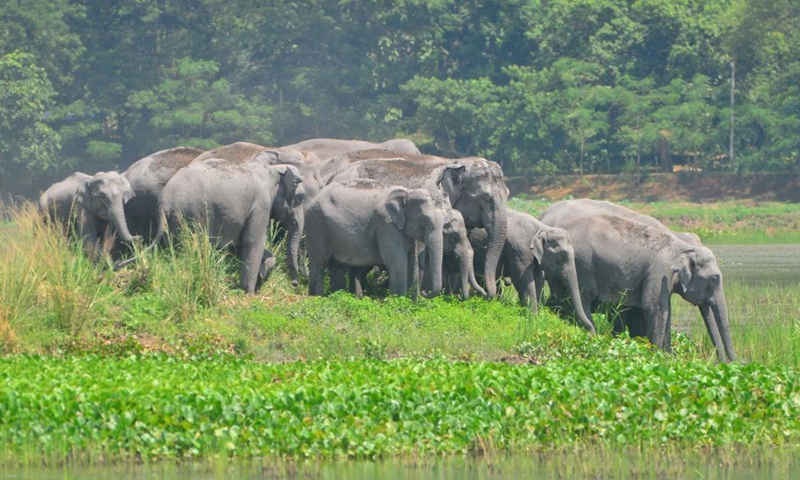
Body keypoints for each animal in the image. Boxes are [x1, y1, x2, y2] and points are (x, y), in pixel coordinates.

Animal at [149, 158, 305, 294]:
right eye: (300, 198)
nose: (295, 284)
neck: (273, 170)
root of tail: (164, 201)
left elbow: (238, 245)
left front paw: (262, 273)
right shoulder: (261, 205)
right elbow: (253, 242)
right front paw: (249, 294)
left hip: (174, 221)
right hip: (191, 215)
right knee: (193, 248)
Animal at [304, 179, 447, 297]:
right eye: (424, 221)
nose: (424, 291)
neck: (407, 192)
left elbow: (412, 260)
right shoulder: (385, 224)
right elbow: (397, 260)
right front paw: (399, 303)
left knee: (337, 266)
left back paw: (338, 296)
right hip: (316, 224)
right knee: (319, 263)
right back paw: (318, 297)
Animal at [327, 151, 509, 298]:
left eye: (507, 194)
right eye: (486, 198)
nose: (486, 293)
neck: (456, 163)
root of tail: (332, 176)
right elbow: (423, 255)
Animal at [538, 213, 736, 362]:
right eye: (715, 278)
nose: (727, 363)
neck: (684, 248)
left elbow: (666, 312)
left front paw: (668, 357)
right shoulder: (659, 273)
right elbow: (654, 309)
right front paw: (657, 356)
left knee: (559, 299)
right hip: (583, 266)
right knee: (583, 299)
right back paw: (592, 334)